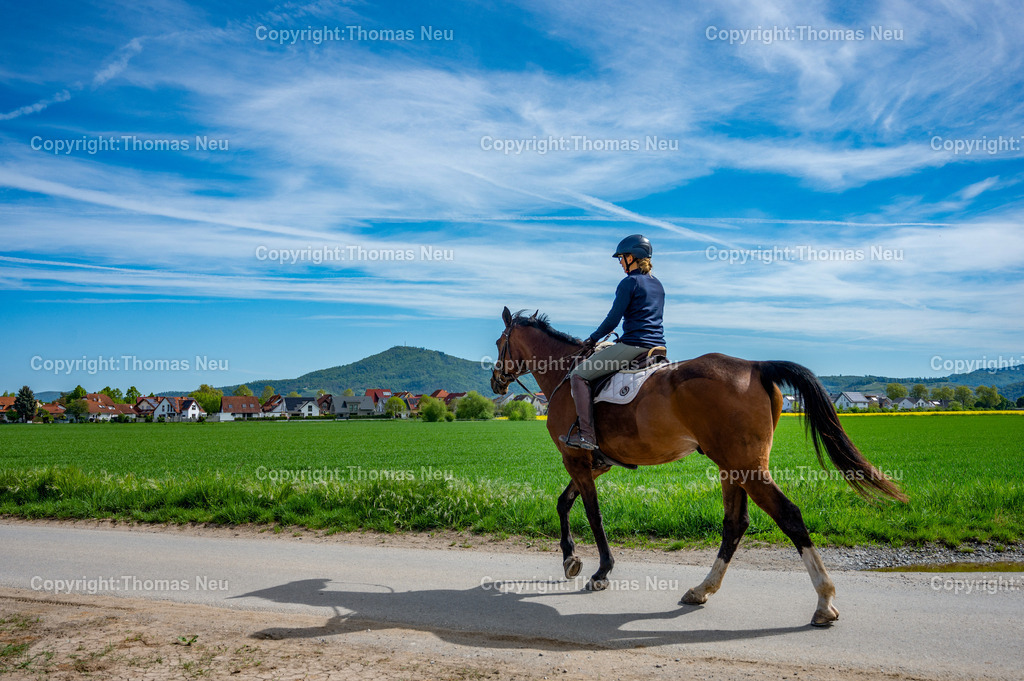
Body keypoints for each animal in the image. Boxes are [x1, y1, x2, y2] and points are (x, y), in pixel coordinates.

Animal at [490, 307, 906, 627]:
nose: (495, 381)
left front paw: (600, 571)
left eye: (499, 343)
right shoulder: (592, 464)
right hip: (732, 467)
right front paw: (570, 559)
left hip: (746, 468)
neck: (566, 372)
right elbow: (564, 502)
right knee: (735, 523)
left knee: (788, 515)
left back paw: (824, 602)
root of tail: (755, 367)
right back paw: (702, 589)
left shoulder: (575, 458)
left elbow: (592, 514)